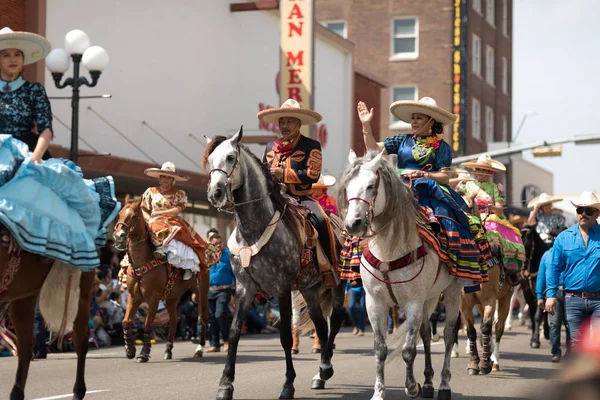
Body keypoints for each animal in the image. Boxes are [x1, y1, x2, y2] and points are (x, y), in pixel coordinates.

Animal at [113, 197, 210, 362]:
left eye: (134, 215)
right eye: (119, 213)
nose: (119, 235)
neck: (142, 262)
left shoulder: (154, 298)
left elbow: (147, 325)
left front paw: (143, 354)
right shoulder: (134, 297)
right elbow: (125, 321)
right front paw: (130, 350)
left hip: (201, 293)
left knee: (203, 319)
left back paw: (199, 349)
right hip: (172, 297)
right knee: (174, 321)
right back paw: (168, 350)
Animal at [204, 129, 344, 400]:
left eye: (230, 157)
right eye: (210, 160)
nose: (215, 193)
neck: (253, 229)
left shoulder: (282, 287)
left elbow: (285, 336)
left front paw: (288, 385)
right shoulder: (245, 287)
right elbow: (234, 333)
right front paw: (225, 385)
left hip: (338, 285)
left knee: (335, 321)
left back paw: (326, 367)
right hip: (310, 289)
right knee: (321, 326)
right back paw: (322, 372)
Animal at [340, 151, 462, 400]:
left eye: (370, 186)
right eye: (347, 186)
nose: (353, 224)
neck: (388, 250)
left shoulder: (412, 303)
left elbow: (408, 350)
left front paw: (411, 386)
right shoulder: (375, 302)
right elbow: (380, 349)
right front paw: (379, 392)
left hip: (452, 290)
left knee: (448, 334)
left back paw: (444, 385)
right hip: (429, 297)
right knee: (426, 333)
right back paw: (428, 383)